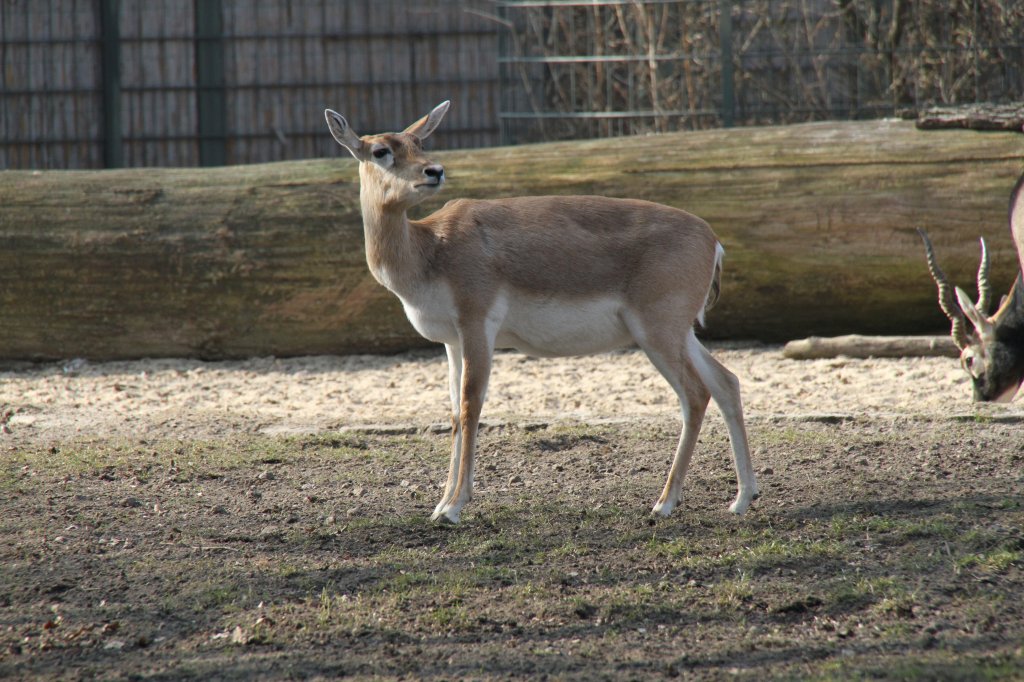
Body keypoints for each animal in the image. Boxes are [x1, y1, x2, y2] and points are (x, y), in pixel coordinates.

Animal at [323, 100, 757, 522]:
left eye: (419, 143)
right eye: (380, 150)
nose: (434, 171)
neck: (430, 249)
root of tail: (713, 240)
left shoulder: (477, 325)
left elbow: (471, 404)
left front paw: (454, 507)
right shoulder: (450, 341)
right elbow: (453, 413)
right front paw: (440, 504)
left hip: (657, 332)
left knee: (695, 395)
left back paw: (664, 503)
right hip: (682, 332)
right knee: (727, 382)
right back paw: (742, 498)